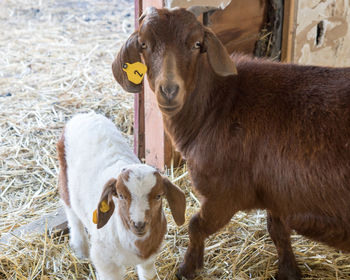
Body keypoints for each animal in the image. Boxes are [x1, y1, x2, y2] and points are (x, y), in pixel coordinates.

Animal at [113, 7, 350, 280]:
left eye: (197, 44)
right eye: (143, 43)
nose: (169, 90)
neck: (218, 104)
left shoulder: (225, 193)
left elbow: (195, 226)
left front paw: (187, 268)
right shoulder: (276, 193)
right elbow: (278, 231)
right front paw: (289, 270)